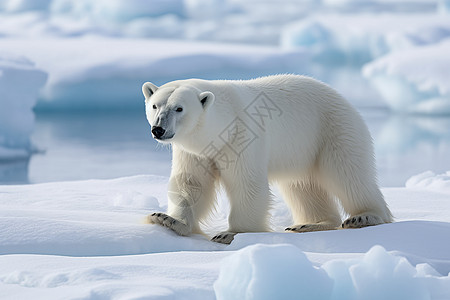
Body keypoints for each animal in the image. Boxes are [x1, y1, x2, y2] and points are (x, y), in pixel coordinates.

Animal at [142, 74, 392, 244]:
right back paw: (309, 224)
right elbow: (191, 183)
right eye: (155, 105)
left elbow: (246, 184)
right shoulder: (195, 152)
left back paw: (365, 217)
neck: (224, 123)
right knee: (303, 186)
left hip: (333, 130)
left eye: (179, 108)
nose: (158, 129)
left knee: (348, 174)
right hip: (302, 151)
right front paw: (166, 219)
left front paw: (231, 233)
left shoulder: (242, 137)